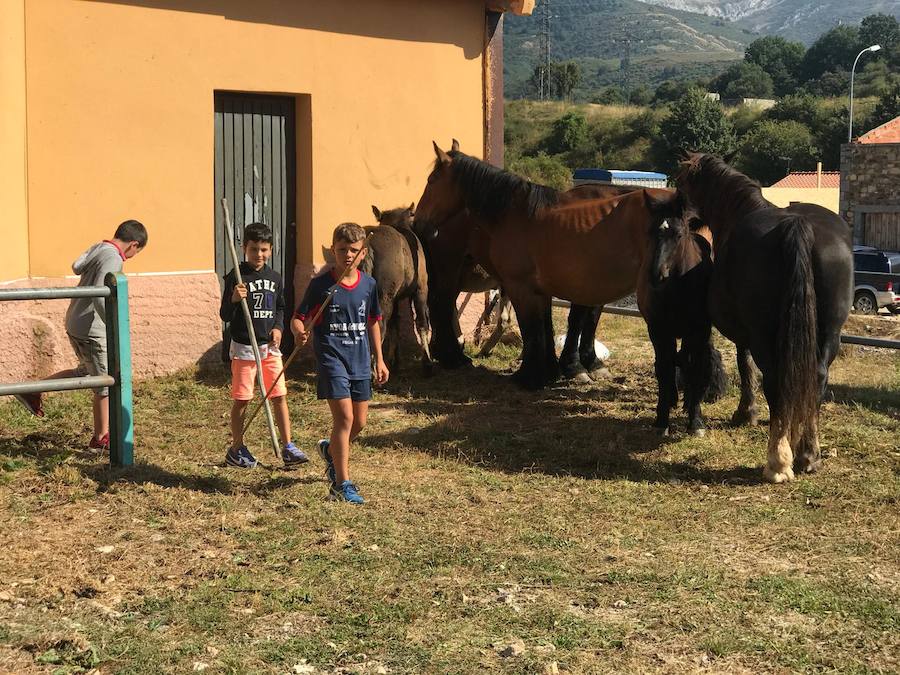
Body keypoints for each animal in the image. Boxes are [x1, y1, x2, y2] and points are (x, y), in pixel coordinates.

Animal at [418, 141, 680, 390]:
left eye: (431, 180)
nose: (421, 220)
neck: (514, 214)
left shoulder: (543, 288)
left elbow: (546, 328)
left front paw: (546, 372)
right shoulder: (538, 288)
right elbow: (544, 328)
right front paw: (551, 372)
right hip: (449, 268)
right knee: (442, 305)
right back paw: (453, 357)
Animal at [680, 153, 856, 484]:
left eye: (682, 184)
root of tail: (797, 225)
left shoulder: (745, 336)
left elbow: (745, 367)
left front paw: (745, 413)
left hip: (764, 334)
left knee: (774, 381)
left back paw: (778, 462)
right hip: (830, 333)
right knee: (816, 377)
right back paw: (808, 455)